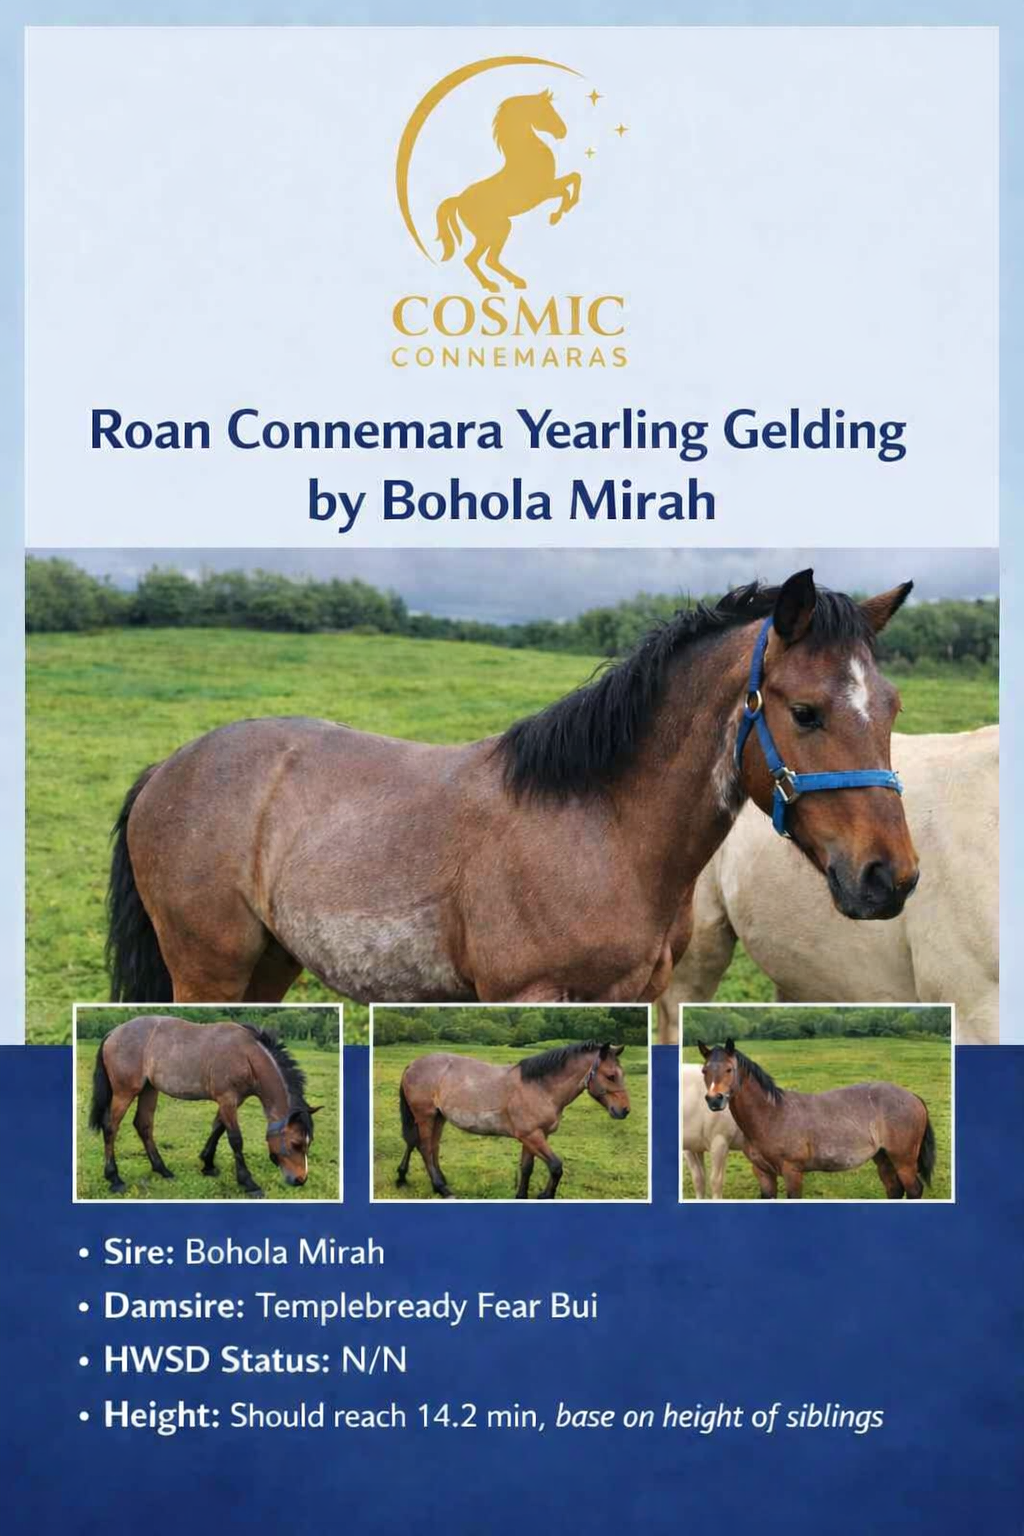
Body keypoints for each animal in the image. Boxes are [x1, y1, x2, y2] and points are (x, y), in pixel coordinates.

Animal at [87, 1016, 321, 1197]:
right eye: (296, 1143)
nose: (301, 1179)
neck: (246, 1056)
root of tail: (113, 1033)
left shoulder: (232, 1100)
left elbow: (217, 1128)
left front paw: (207, 1163)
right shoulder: (227, 1099)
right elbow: (235, 1139)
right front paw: (248, 1182)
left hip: (148, 1089)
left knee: (143, 1125)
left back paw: (162, 1170)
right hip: (125, 1092)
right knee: (111, 1127)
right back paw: (114, 1178)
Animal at [106, 569, 919, 1011]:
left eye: (891, 707)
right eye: (805, 711)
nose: (891, 876)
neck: (603, 828)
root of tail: (166, 770)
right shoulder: (527, 993)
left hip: (269, 962)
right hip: (208, 969)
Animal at [395, 1041, 630, 1199]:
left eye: (621, 1074)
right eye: (610, 1076)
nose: (624, 1110)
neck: (540, 1087)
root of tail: (412, 1065)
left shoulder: (534, 1136)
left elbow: (527, 1168)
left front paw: (521, 1196)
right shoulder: (532, 1136)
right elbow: (556, 1166)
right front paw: (545, 1195)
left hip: (438, 1117)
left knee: (432, 1148)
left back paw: (431, 1181)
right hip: (425, 1116)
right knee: (424, 1148)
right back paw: (441, 1188)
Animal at [435, 89, 581, 292]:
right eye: (546, 111)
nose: (563, 132)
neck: (527, 155)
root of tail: (459, 200)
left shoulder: (549, 188)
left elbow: (574, 179)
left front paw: (560, 213)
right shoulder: (544, 192)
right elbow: (569, 185)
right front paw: (556, 216)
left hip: (490, 233)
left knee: (478, 260)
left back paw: (503, 283)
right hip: (497, 230)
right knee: (483, 259)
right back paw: (502, 284)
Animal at [698, 1039, 935, 1199]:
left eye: (729, 1069)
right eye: (704, 1070)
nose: (714, 1100)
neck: (771, 1115)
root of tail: (913, 1097)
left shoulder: (793, 1173)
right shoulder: (763, 1174)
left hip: (903, 1160)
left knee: (914, 1190)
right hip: (883, 1158)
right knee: (894, 1189)